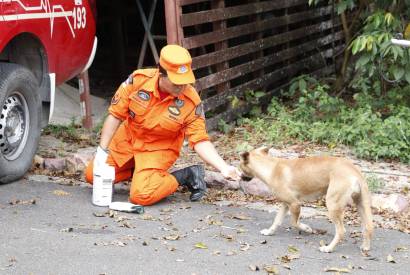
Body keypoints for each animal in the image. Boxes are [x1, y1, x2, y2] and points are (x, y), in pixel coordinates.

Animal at [239, 148, 374, 253]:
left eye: (240, 166)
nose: (239, 177)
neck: (271, 168)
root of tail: (354, 171)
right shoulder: (285, 204)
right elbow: (276, 220)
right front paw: (269, 232)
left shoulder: (295, 204)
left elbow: (294, 223)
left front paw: (307, 229)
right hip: (361, 205)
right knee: (368, 227)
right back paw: (366, 247)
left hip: (332, 205)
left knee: (341, 231)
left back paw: (328, 248)